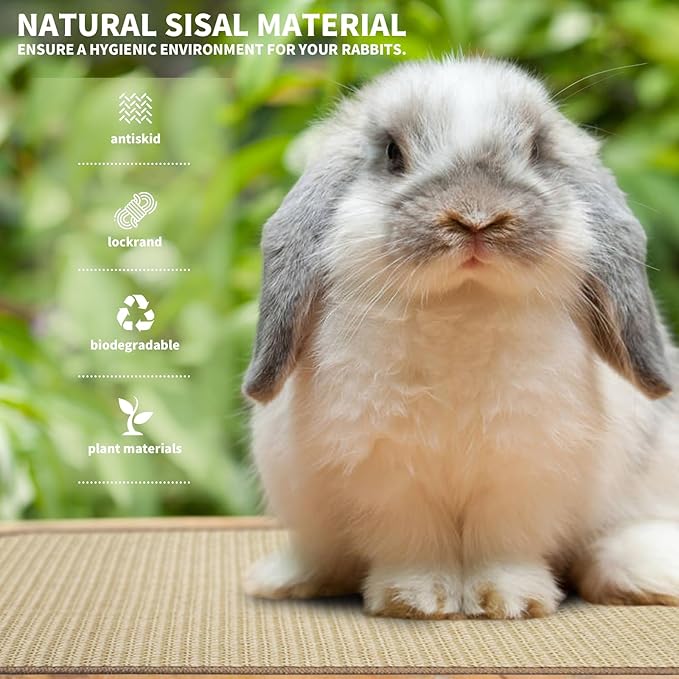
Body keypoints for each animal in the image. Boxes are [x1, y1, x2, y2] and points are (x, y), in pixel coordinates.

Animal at [241, 56, 679, 620]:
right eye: (392, 153)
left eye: (536, 150)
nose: (475, 217)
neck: (462, 305)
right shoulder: (388, 473)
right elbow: (413, 542)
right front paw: (416, 600)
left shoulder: (524, 467)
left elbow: (504, 542)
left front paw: (508, 601)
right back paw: (289, 578)